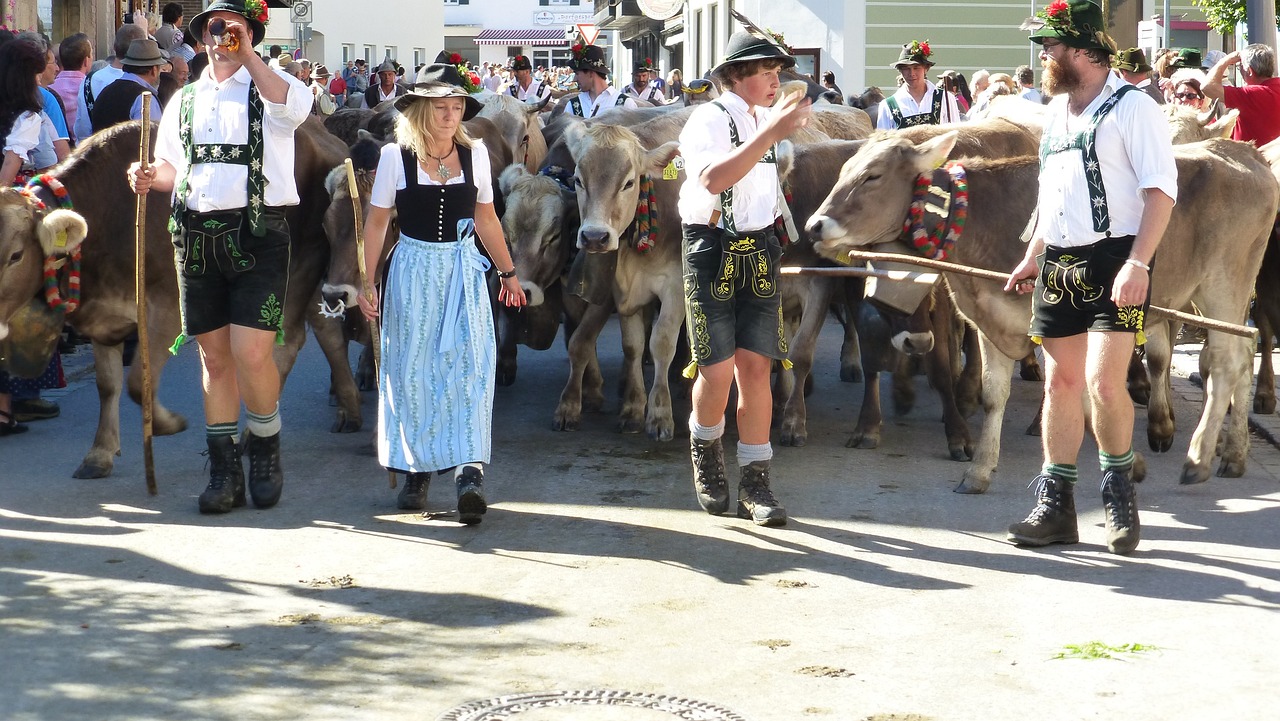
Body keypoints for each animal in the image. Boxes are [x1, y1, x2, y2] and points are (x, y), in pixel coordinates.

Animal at [808, 131, 1280, 491]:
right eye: (843, 172)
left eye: (872, 176)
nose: (814, 225)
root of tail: (1240, 151)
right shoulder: (990, 320)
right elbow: (994, 395)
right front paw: (980, 470)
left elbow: (1084, 393)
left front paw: (1129, 464)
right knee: (1240, 356)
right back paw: (1233, 454)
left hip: (1224, 283)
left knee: (1224, 363)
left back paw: (1198, 458)